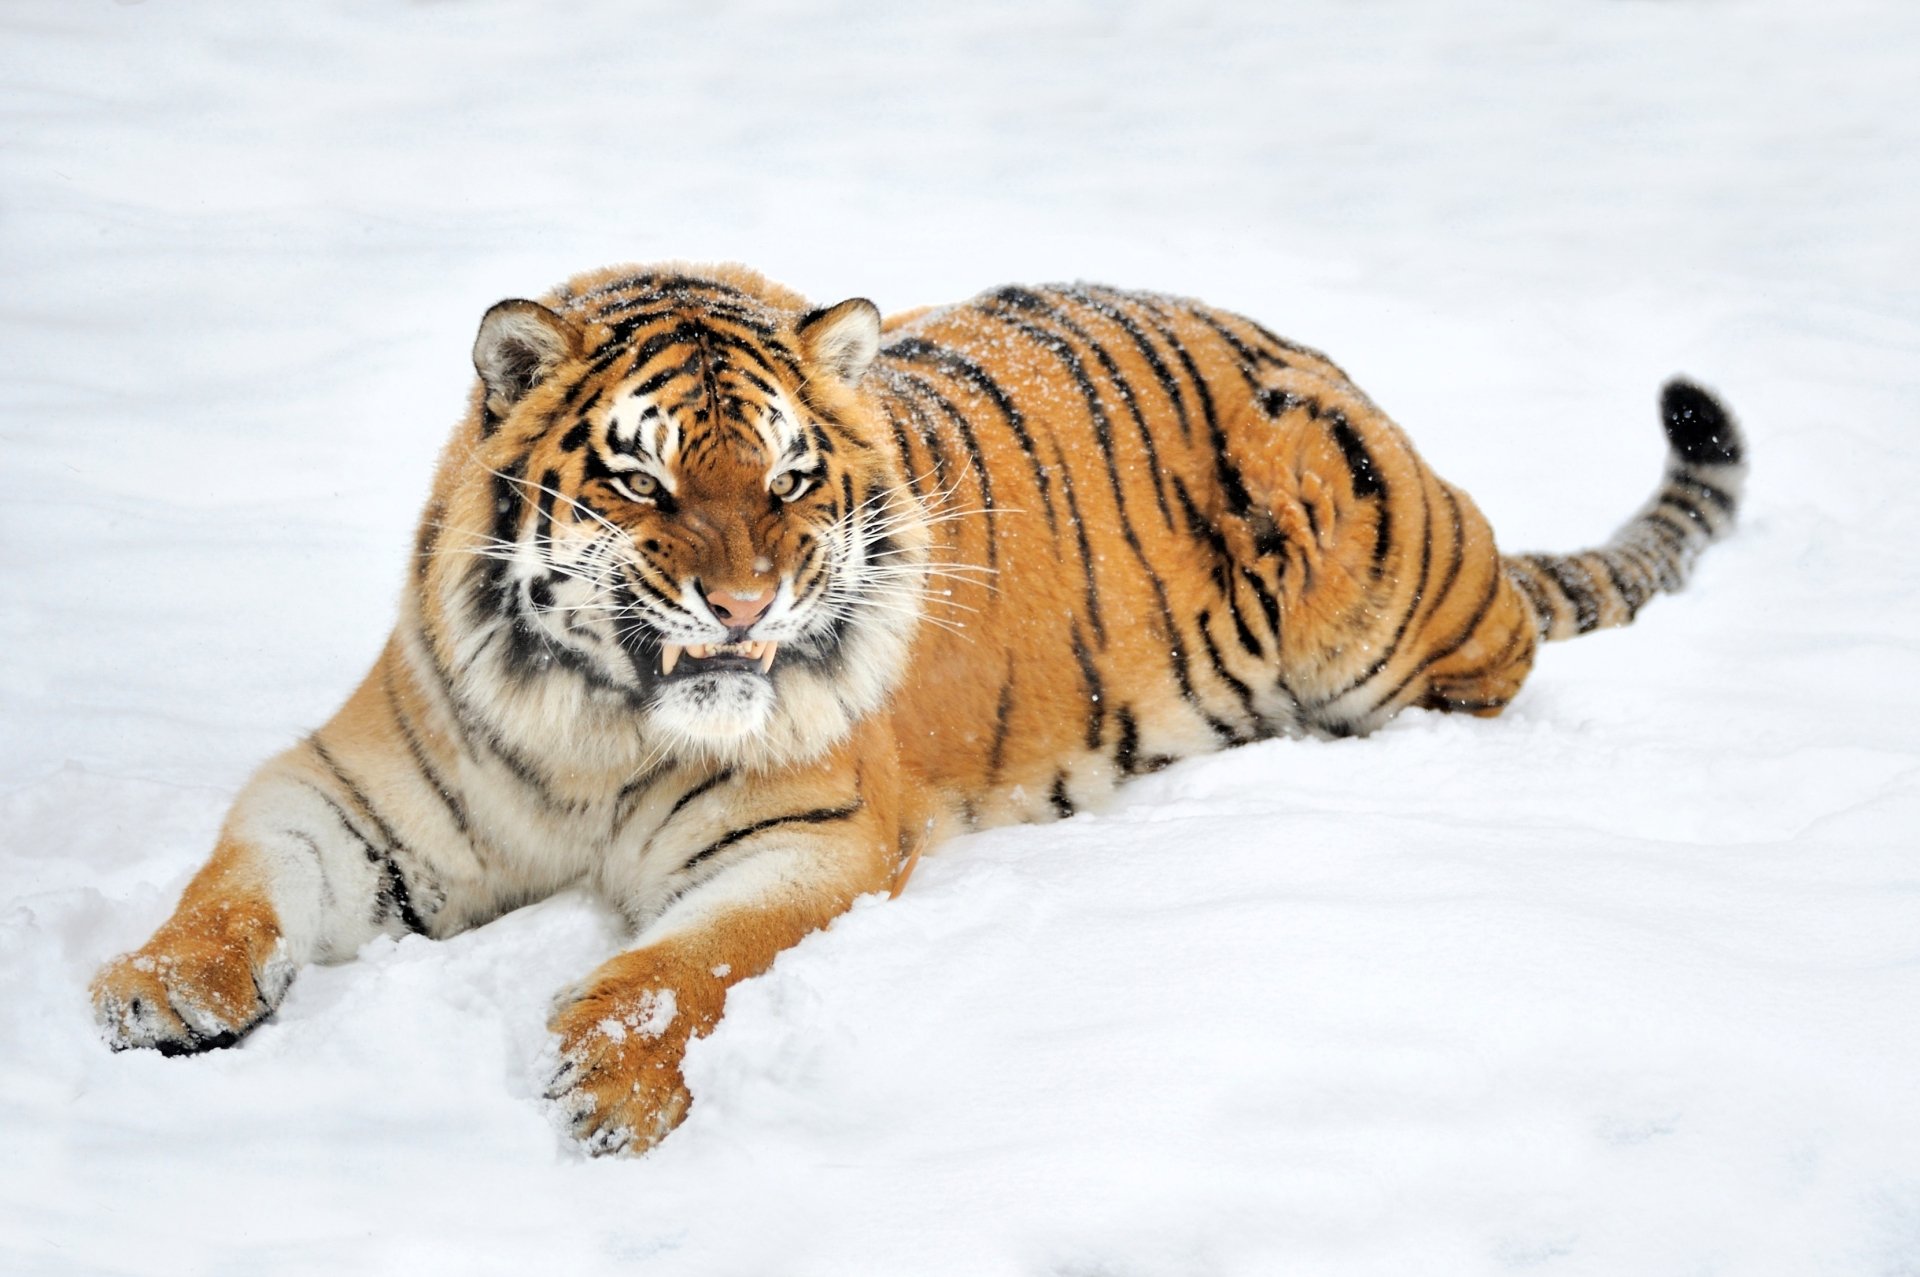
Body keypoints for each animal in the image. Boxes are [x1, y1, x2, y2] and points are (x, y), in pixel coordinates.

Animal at [90, 262, 1746, 1155]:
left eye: (788, 478)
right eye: (644, 481)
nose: (744, 608)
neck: (597, 726)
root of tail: (1326, 364)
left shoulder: (811, 838)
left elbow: (663, 972)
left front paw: (608, 1094)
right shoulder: (344, 790)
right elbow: (234, 881)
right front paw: (157, 989)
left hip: (1378, 592)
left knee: (1494, 674)